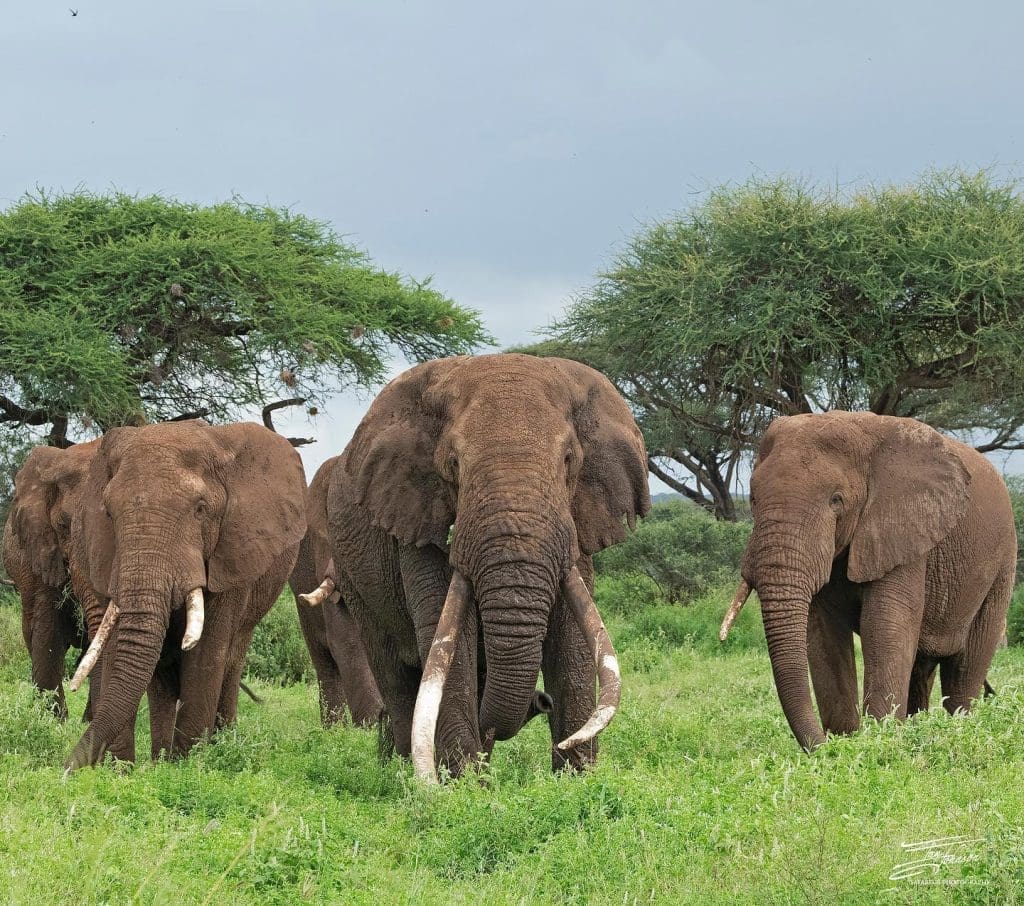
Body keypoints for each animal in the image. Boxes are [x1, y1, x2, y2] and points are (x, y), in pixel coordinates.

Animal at [63, 419, 307, 771]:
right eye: (108, 513)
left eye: (201, 510)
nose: (65, 770)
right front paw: (124, 771)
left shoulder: (230, 556)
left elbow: (206, 654)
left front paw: (186, 769)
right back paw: (160, 760)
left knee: (230, 662)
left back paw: (220, 748)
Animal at [319, 353, 650, 781]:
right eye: (453, 464)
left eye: (568, 461)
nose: (541, 700)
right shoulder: (416, 518)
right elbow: (449, 641)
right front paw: (462, 786)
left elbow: (573, 637)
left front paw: (578, 779)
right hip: (353, 578)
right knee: (394, 674)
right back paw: (405, 770)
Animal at [721, 411, 1016, 751]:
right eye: (753, 498)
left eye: (836, 500)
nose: (819, 747)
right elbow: (823, 632)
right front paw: (845, 743)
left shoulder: (903, 526)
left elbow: (884, 623)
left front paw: (878, 740)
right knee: (921, 667)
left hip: (1002, 562)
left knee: (965, 668)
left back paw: (958, 728)